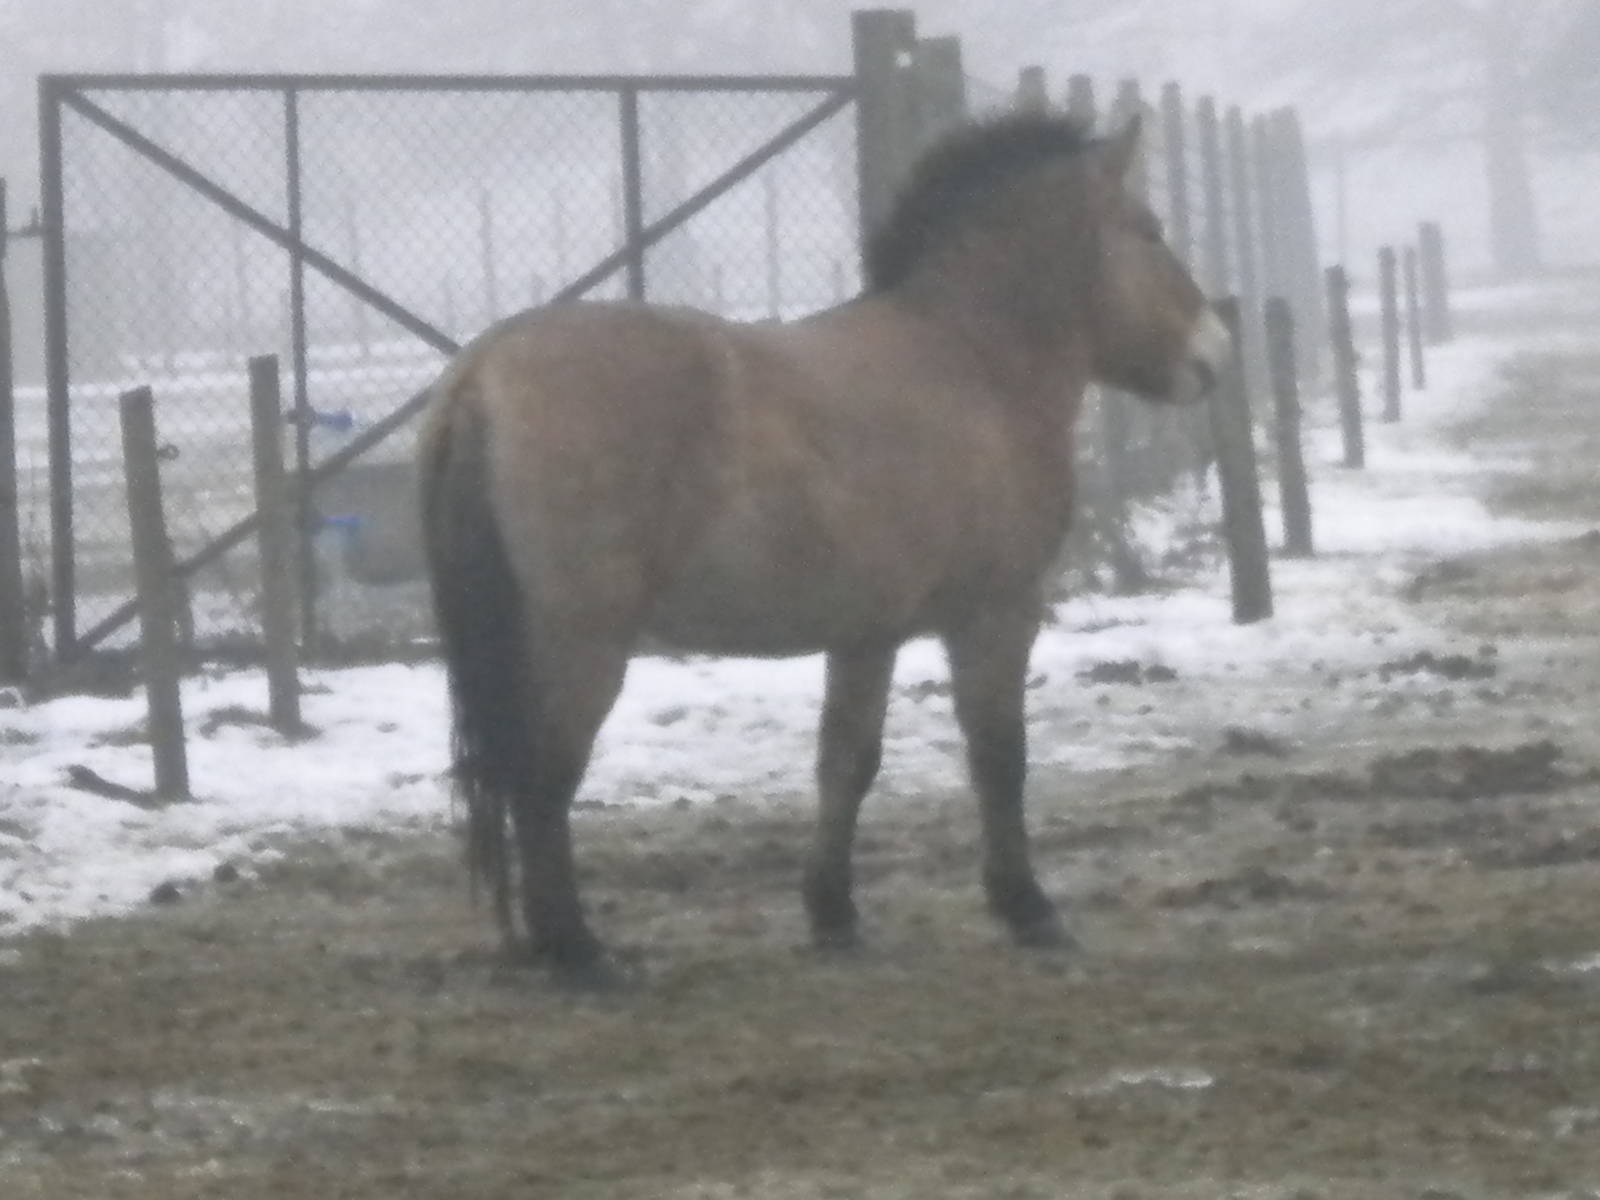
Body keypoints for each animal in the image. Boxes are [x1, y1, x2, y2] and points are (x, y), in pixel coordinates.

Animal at [417, 110, 1230, 984]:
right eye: (1148, 231)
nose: (1215, 352)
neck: (971, 360)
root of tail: (482, 372)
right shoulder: (995, 613)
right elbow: (998, 756)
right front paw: (1026, 906)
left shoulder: (867, 633)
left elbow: (847, 762)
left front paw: (833, 911)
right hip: (583, 642)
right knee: (544, 782)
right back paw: (577, 951)